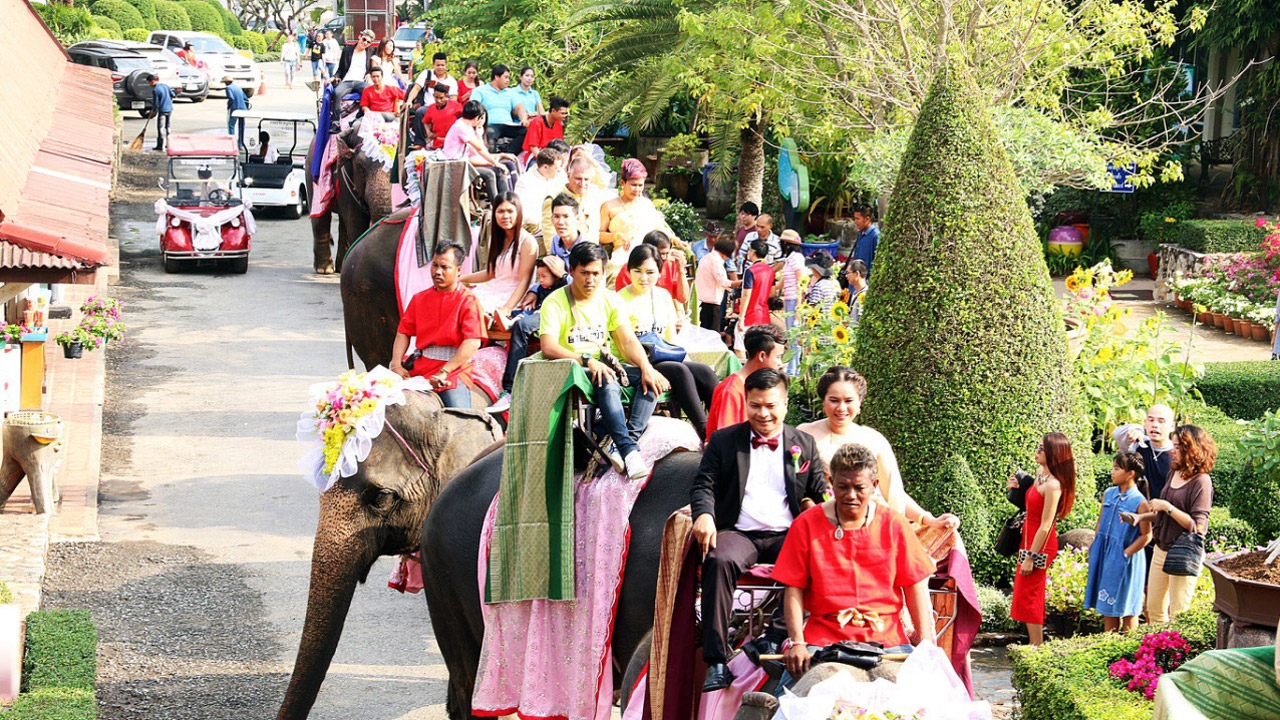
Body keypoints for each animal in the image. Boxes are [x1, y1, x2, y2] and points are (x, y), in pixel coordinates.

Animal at [305, 122, 394, 271]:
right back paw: (325, 269)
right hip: (311, 172)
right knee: (321, 218)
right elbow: (356, 221)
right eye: (361, 167)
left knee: (343, 223)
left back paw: (340, 267)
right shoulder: (343, 175)